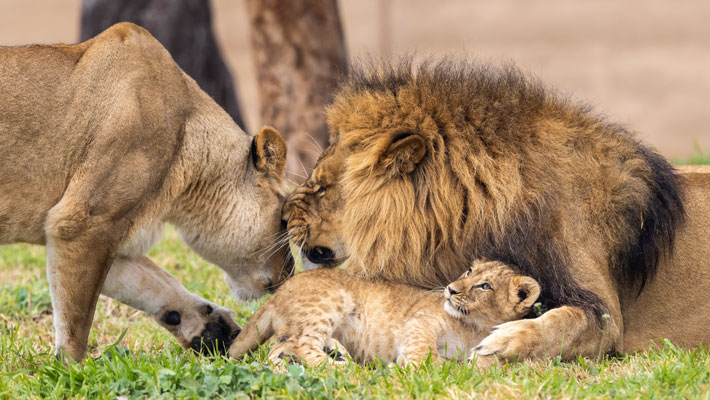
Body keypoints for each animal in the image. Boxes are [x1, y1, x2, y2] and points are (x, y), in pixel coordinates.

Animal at [0, 23, 292, 360]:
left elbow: (152, 281)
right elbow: (77, 320)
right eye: (284, 222)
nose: (290, 275)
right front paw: (71, 367)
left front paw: (213, 330)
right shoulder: (82, 223)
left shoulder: (97, 232)